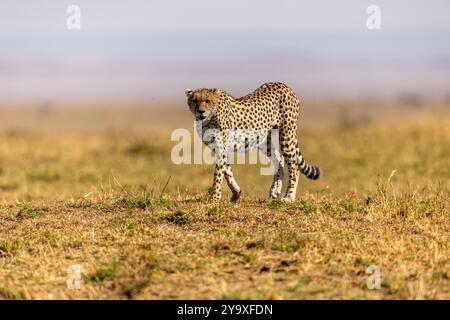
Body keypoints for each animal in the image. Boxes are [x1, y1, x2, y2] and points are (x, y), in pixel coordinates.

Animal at [185, 82, 320, 202]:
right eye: (195, 101)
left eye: (208, 101)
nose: (201, 111)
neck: (208, 119)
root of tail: (285, 85)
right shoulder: (219, 149)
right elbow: (227, 172)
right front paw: (236, 194)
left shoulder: (221, 148)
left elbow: (218, 175)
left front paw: (214, 199)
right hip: (264, 141)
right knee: (279, 159)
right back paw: (275, 191)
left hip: (286, 136)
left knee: (294, 166)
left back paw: (289, 197)